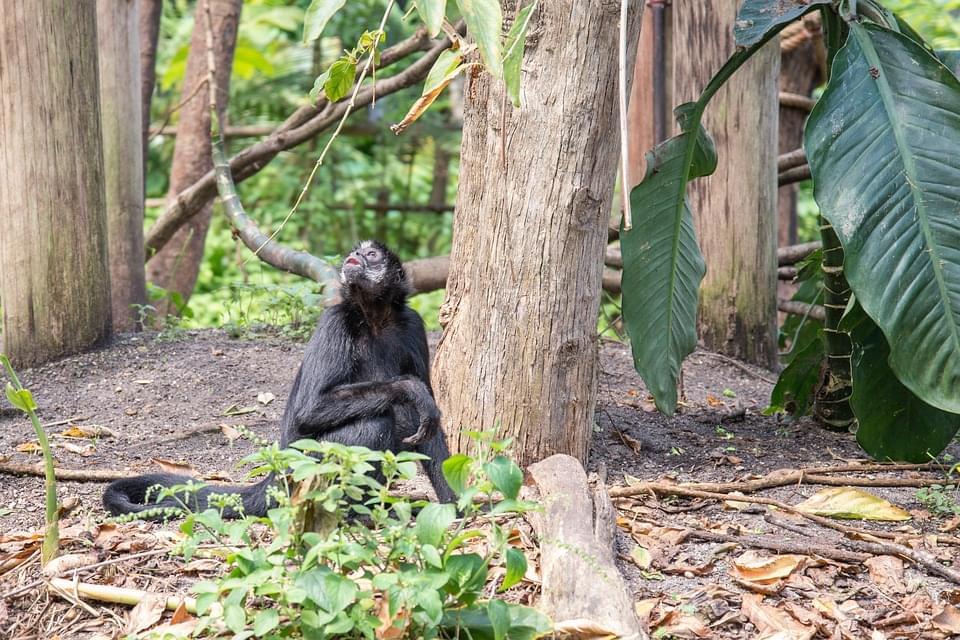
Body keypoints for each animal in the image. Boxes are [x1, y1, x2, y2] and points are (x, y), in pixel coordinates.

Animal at [103, 242, 456, 516]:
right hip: (305, 470)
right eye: (357, 250)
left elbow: (429, 422)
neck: (374, 318)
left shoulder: (411, 324)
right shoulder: (335, 320)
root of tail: (277, 477)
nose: (355, 254)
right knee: (376, 420)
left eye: (371, 254)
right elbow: (311, 409)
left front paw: (457, 506)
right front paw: (411, 390)